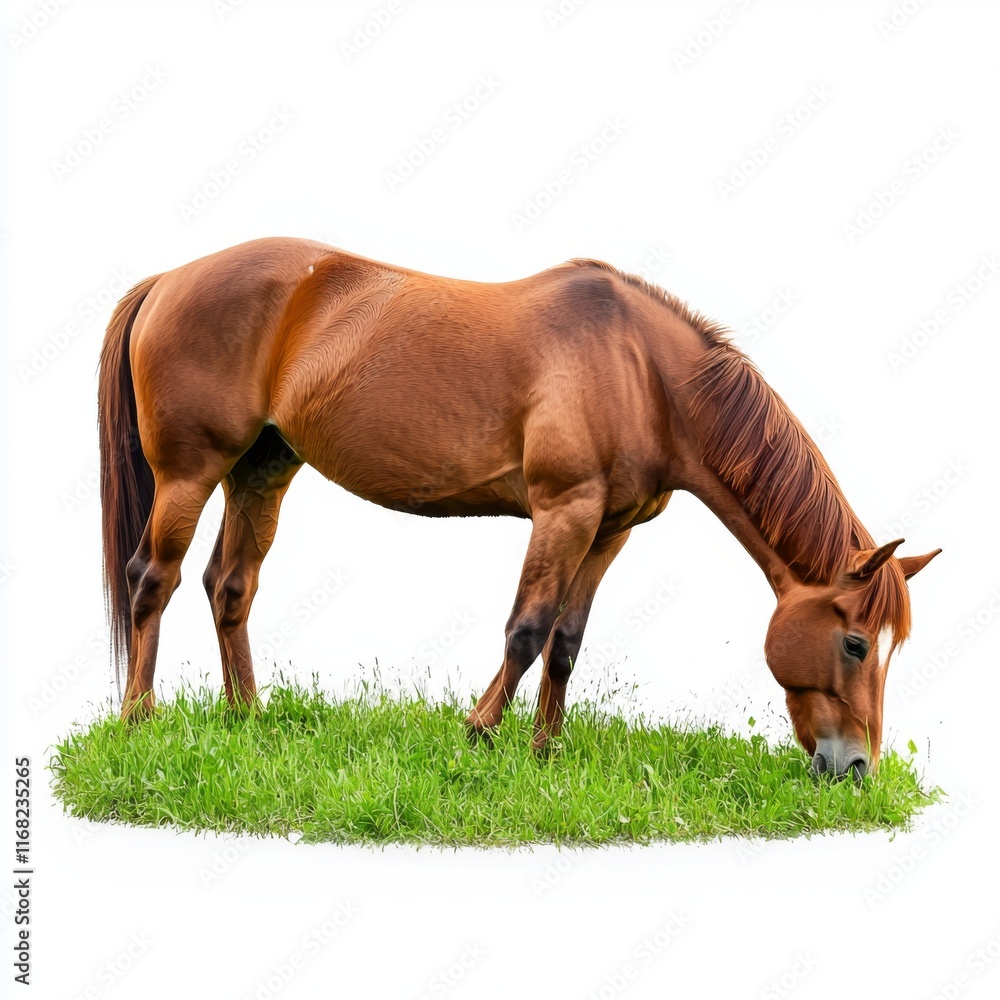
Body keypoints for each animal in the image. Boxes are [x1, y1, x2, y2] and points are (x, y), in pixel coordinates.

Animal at [98, 237, 940, 778]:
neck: (641, 371)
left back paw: (248, 719)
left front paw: (546, 753)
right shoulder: (563, 510)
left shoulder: (609, 530)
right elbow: (527, 628)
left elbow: (566, 640)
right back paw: (139, 721)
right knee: (153, 580)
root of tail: (169, 277)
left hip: (262, 469)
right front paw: (479, 735)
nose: (856, 767)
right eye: (856, 644)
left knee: (229, 585)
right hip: (190, 471)